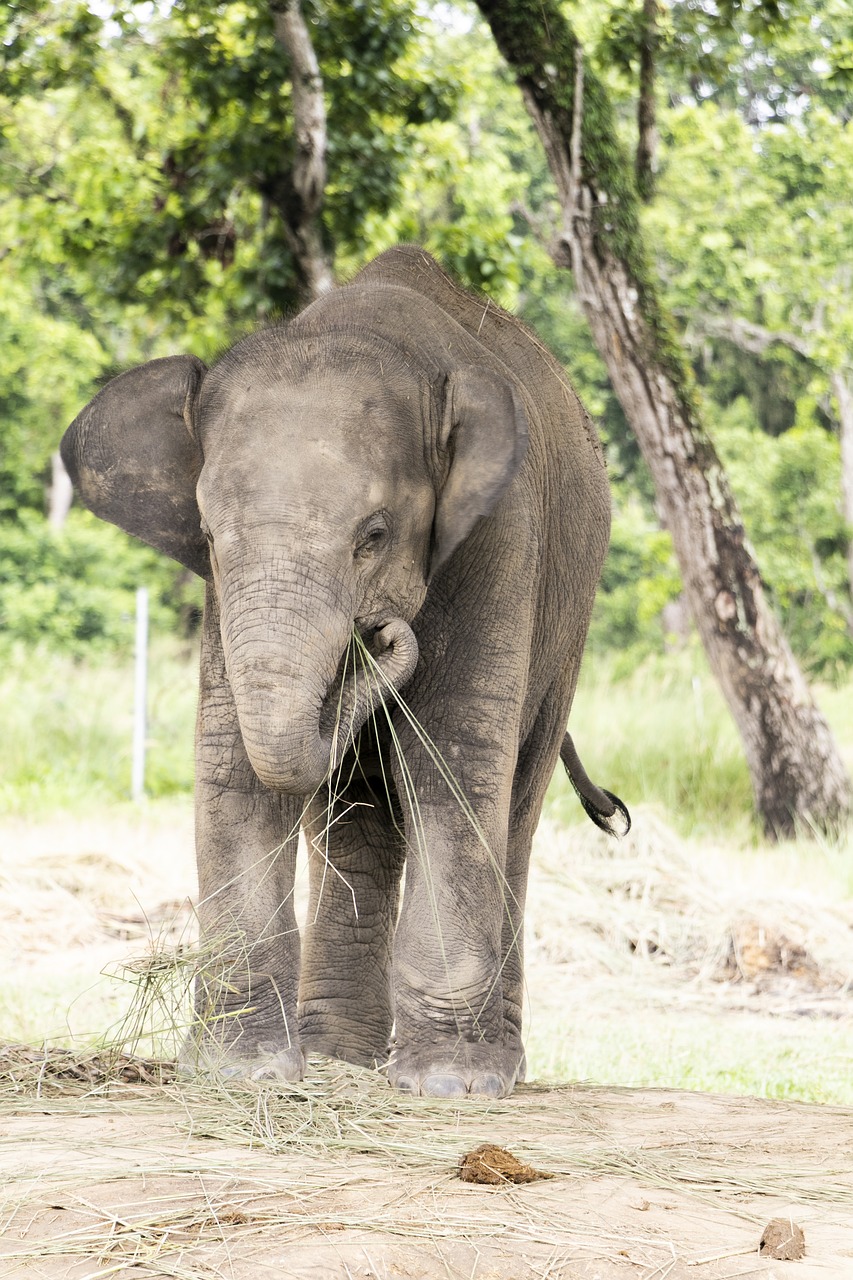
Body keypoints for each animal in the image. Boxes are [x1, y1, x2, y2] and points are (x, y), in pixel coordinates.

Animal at [61, 244, 625, 1095]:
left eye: (374, 535)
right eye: (208, 535)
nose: (381, 632)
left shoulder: (501, 538)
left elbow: (452, 758)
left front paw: (448, 1086)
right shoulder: (224, 598)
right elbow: (234, 763)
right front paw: (241, 1072)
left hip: (571, 617)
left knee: (513, 799)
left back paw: (496, 1066)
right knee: (356, 807)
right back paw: (339, 1056)